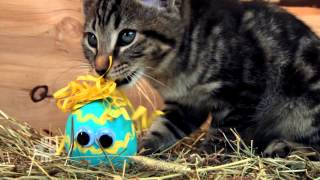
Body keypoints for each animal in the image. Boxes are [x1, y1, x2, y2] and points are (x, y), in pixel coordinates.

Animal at [82, 0, 320, 156]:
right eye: (92, 39)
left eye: (127, 36)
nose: (100, 68)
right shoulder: (184, 105)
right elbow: (164, 127)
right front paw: (143, 147)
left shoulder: (245, 91)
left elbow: (224, 131)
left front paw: (208, 155)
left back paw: (283, 147)